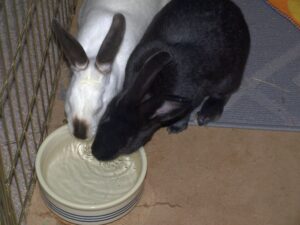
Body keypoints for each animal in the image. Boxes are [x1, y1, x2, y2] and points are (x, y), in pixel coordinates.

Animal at [91, 0, 251, 160]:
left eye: (128, 142)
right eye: (105, 117)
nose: (96, 153)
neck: (151, 92)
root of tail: (232, 7)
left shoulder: (192, 99)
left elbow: (184, 113)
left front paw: (175, 128)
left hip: (229, 77)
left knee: (223, 94)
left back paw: (206, 114)